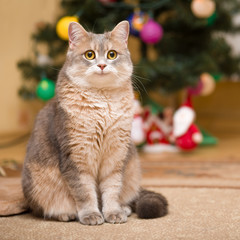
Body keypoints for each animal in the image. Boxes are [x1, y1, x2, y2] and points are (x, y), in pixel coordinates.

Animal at [22, 20, 169, 225]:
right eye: (89, 54)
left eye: (112, 54)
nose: (101, 65)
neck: (102, 101)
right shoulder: (76, 157)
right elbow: (85, 193)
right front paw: (91, 214)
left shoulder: (115, 155)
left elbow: (112, 189)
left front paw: (113, 212)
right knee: (43, 209)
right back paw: (65, 214)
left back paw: (124, 209)